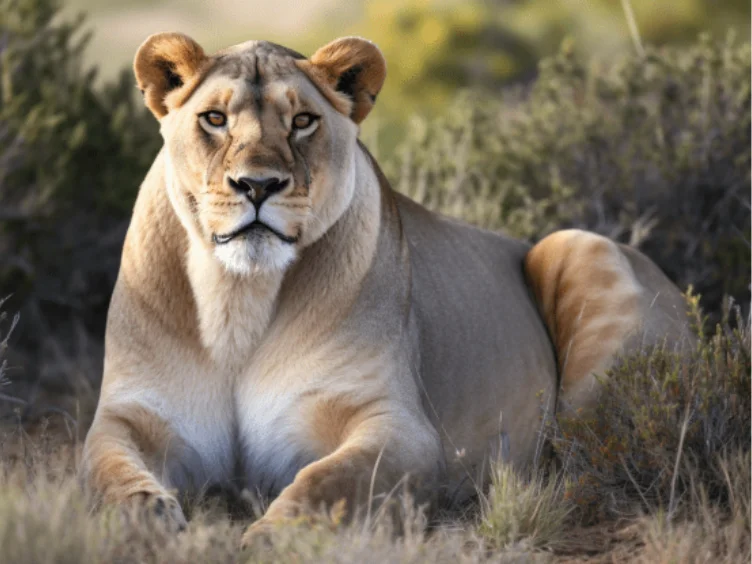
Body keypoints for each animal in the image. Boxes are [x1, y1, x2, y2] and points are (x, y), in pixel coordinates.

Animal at [80, 33, 693, 544]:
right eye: (213, 118)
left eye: (302, 121)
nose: (257, 184)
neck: (239, 298)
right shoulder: (132, 414)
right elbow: (104, 470)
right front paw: (144, 519)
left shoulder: (401, 427)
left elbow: (327, 481)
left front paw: (272, 537)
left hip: (576, 250)